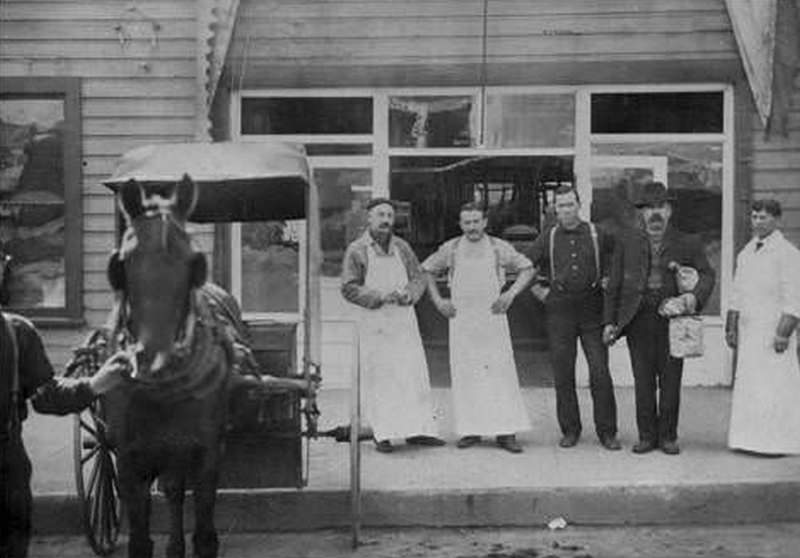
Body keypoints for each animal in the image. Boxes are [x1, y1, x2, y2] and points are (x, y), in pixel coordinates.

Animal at [104, 176, 233, 558]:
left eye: (194, 262)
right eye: (122, 263)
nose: (153, 358)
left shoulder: (205, 448)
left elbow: (202, 526)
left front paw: (195, 542)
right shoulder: (127, 456)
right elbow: (139, 536)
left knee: (177, 489)